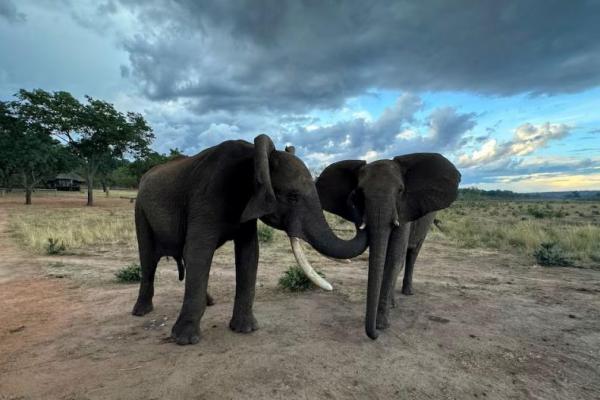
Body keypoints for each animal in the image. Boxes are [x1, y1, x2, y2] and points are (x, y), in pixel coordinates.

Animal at [132, 134, 366, 344]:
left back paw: (209, 302)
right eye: (292, 197)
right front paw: (184, 340)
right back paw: (141, 312)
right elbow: (199, 251)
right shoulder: (205, 198)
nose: (356, 195)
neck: (253, 157)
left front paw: (245, 329)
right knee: (148, 257)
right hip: (140, 209)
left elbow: (249, 253)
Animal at [314, 152, 460, 338]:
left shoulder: (404, 210)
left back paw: (407, 292)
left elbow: (393, 259)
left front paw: (381, 325)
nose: (374, 334)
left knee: (412, 254)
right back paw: (393, 303)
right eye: (359, 192)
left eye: (400, 191)